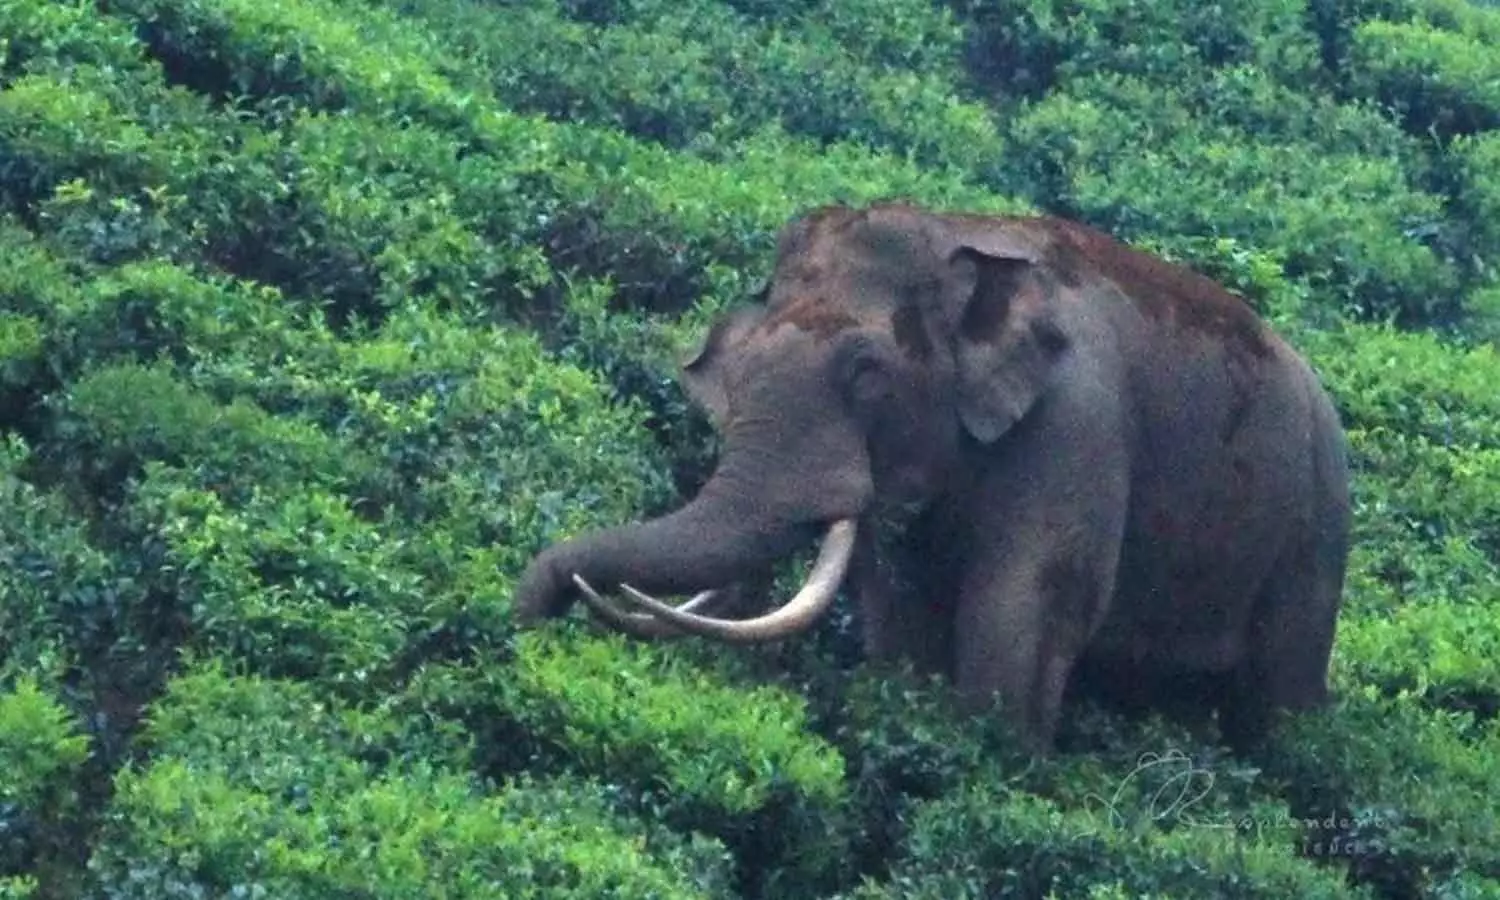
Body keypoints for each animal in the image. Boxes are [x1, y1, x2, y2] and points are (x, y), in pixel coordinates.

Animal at [513, 201, 1351, 752]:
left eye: (866, 374)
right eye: (735, 372)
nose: (529, 622)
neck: (958, 240)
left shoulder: (1078, 423)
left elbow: (1030, 603)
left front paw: (996, 773)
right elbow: (900, 610)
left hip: (1316, 528)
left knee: (1281, 696)